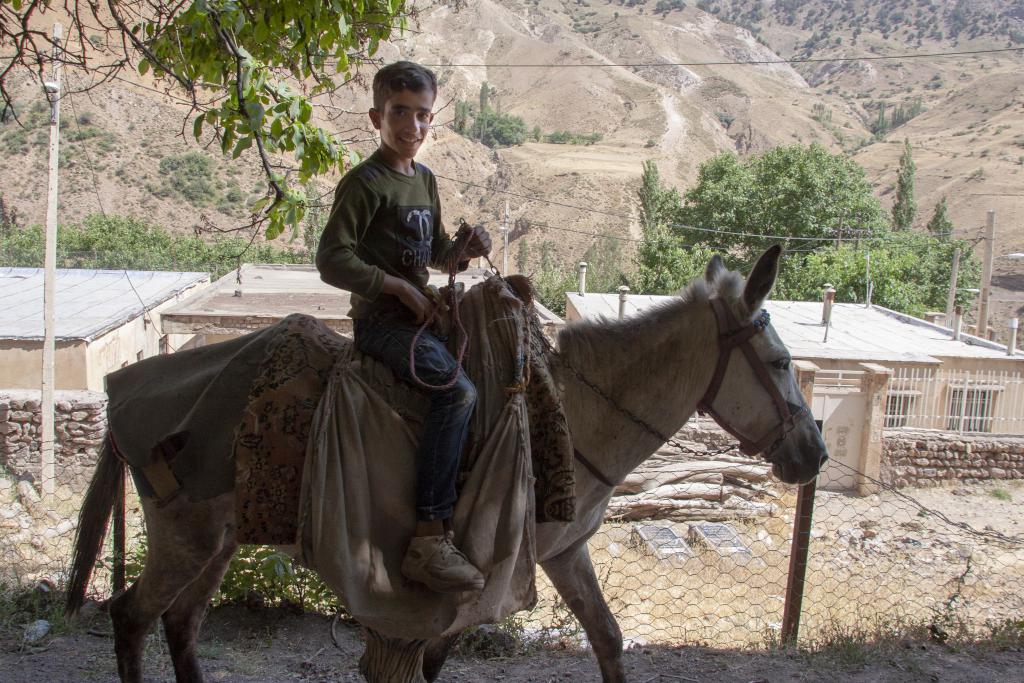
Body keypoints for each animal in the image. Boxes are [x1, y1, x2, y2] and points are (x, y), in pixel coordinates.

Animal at [68, 246, 827, 683]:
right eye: (779, 362)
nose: (813, 453)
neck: (573, 409)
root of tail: (125, 387)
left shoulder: (563, 554)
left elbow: (609, 642)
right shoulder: (477, 578)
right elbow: (424, 664)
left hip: (221, 540)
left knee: (180, 625)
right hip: (185, 537)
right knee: (132, 618)